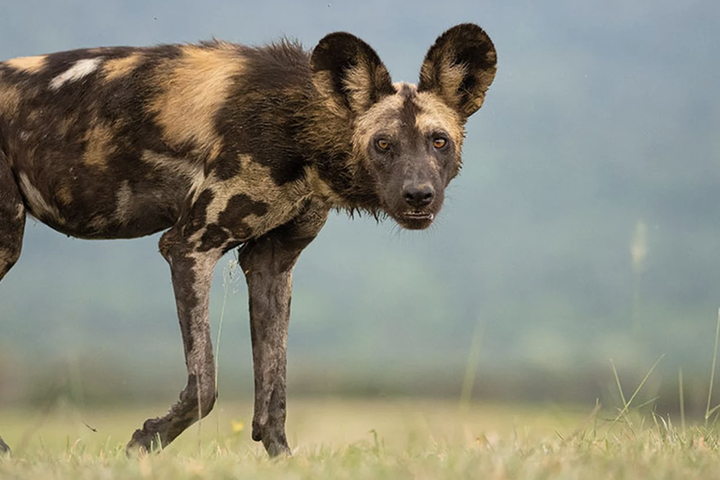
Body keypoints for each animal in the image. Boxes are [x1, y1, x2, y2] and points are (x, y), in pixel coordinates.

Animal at [0, 23, 496, 458]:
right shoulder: (190, 246)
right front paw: (144, 443)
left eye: (438, 141)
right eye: (383, 144)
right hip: (8, 239)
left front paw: (282, 459)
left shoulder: (272, 264)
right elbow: (204, 385)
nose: (418, 195)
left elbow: (273, 392)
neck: (298, 127)